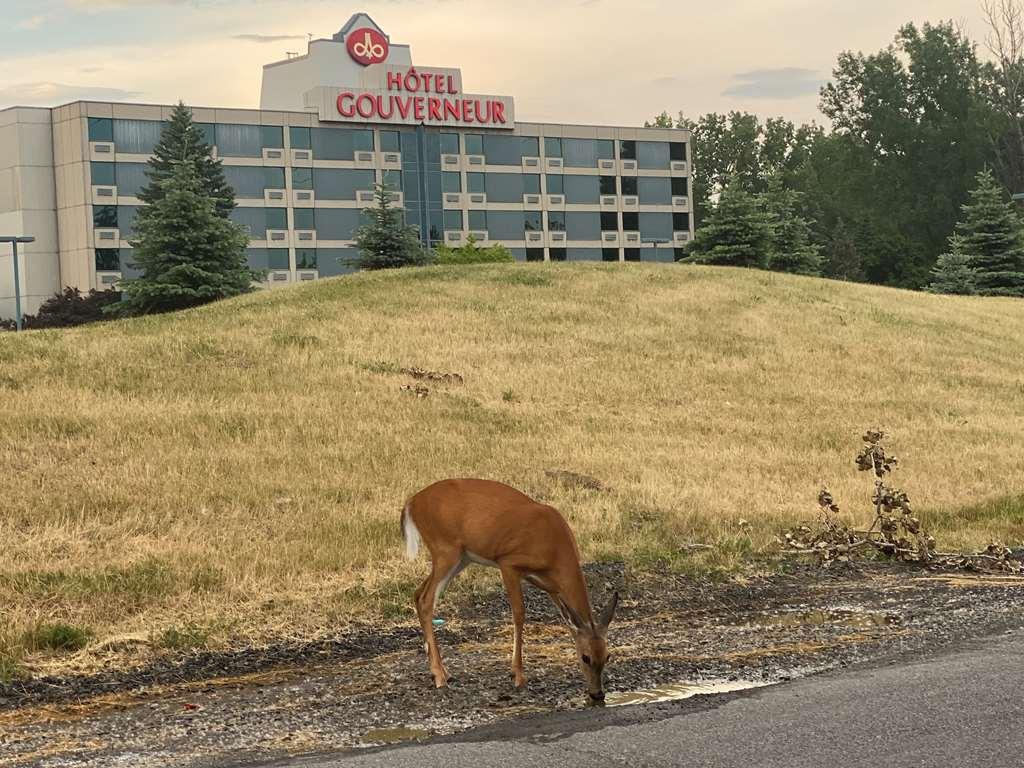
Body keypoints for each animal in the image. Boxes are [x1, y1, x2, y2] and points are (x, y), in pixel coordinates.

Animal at [403, 481, 618, 704]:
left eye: (607, 655)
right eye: (585, 657)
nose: (597, 693)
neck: (554, 549)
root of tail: (411, 502)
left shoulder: (552, 586)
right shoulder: (508, 563)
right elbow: (519, 613)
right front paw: (518, 675)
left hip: (461, 558)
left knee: (418, 594)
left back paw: (440, 671)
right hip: (445, 550)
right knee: (426, 599)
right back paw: (439, 677)